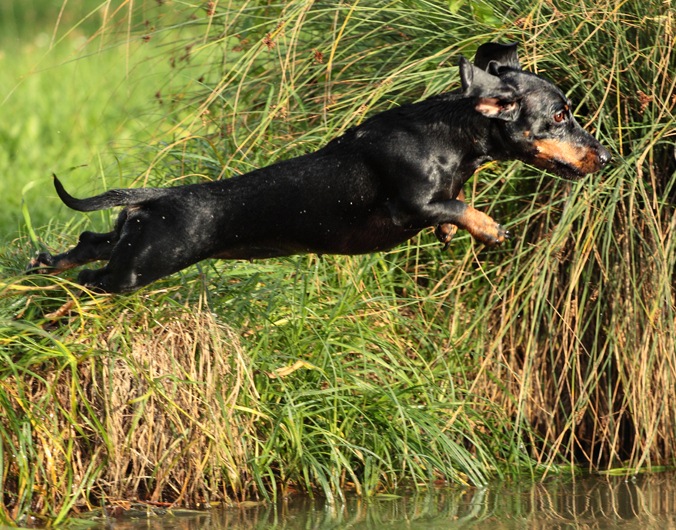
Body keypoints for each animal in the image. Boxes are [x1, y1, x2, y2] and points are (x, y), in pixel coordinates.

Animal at [26, 42, 608, 292]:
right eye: (560, 115)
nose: (606, 155)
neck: (448, 133)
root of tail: (153, 197)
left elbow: (453, 206)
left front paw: (453, 232)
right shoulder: (410, 202)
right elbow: (458, 204)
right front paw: (488, 229)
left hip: (131, 242)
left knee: (87, 242)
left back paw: (45, 265)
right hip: (141, 266)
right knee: (94, 277)